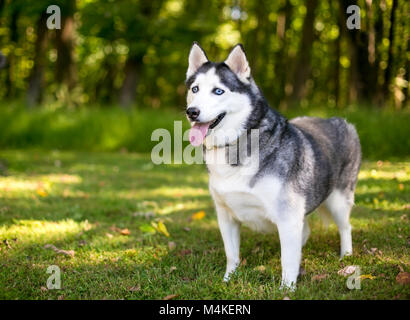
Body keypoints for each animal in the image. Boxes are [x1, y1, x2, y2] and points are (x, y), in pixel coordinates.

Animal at [184, 42, 360, 290]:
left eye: (218, 91)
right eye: (195, 89)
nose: (192, 112)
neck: (238, 141)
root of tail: (340, 121)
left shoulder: (288, 216)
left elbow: (288, 259)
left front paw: (287, 289)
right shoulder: (226, 216)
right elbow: (232, 254)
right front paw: (228, 280)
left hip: (339, 200)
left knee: (345, 227)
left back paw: (346, 256)